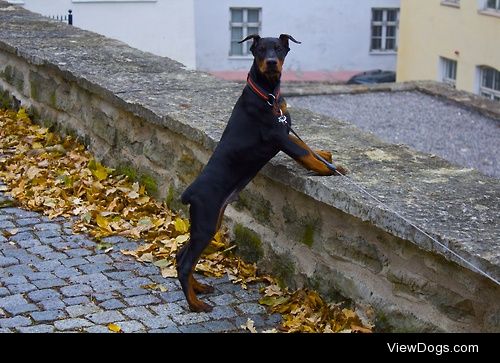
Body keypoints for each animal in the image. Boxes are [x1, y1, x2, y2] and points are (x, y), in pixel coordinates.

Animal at [177, 34, 348, 312]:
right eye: (259, 50)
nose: (270, 62)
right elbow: (305, 154)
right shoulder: (278, 135)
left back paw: (200, 288)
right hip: (206, 221)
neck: (268, 94)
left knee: (181, 255)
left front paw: (330, 158)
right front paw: (328, 169)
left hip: (209, 221)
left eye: (278, 49)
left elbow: (307, 146)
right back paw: (196, 304)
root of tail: (190, 192)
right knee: (184, 263)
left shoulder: (285, 127)